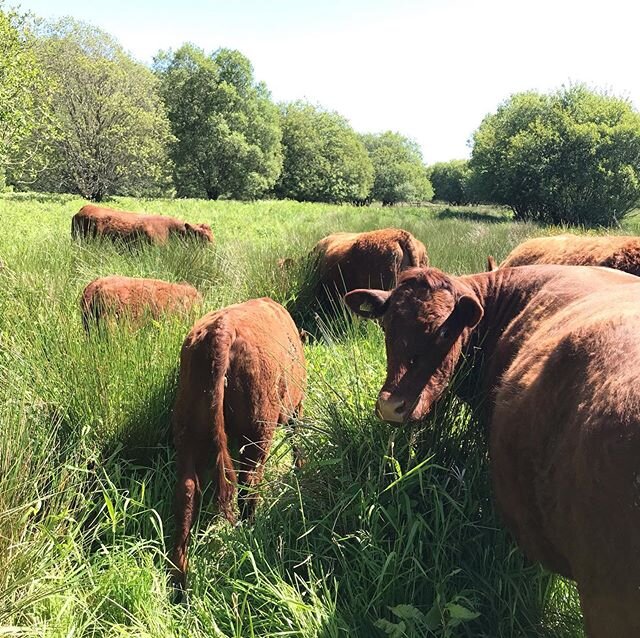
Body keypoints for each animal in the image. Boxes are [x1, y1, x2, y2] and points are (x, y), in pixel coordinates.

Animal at [171, 300, 306, 592]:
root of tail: (222, 330)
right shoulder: (296, 410)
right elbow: (298, 442)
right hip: (258, 432)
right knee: (249, 483)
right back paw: (251, 535)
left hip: (187, 433)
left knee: (186, 493)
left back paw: (179, 581)